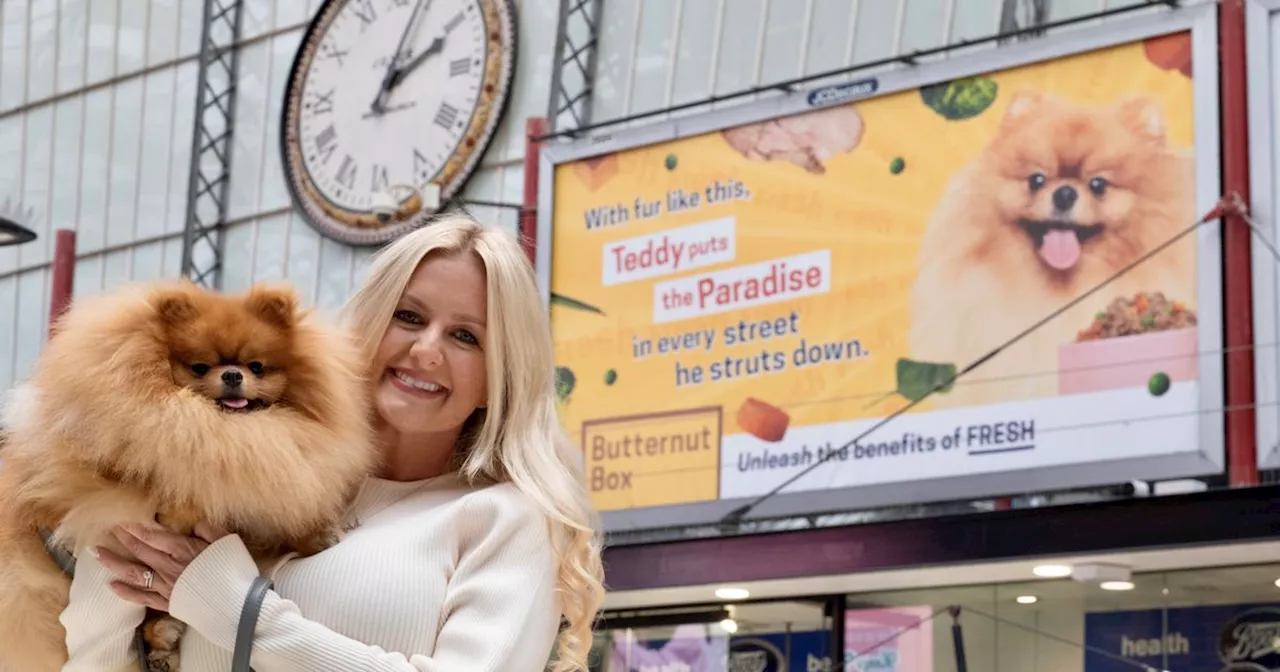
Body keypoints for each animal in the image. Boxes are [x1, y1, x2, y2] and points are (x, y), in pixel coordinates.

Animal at [0, 279, 376, 670]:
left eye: (257, 367)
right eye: (199, 367)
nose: (232, 374)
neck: (226, 431)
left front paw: (317, 535)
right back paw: (159, 639)